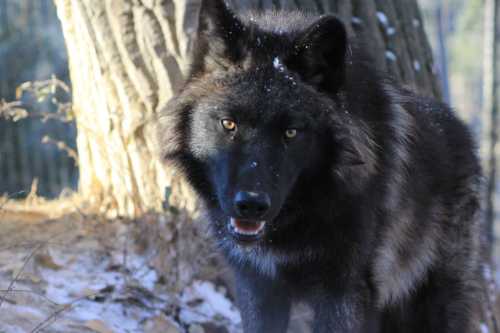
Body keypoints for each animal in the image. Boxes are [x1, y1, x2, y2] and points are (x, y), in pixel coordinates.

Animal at [157, 1, 484, 330]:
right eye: (228, 123)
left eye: (291, 132)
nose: (251, 204)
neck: (298, 218)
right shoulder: (258, 286)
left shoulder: (342, 292)